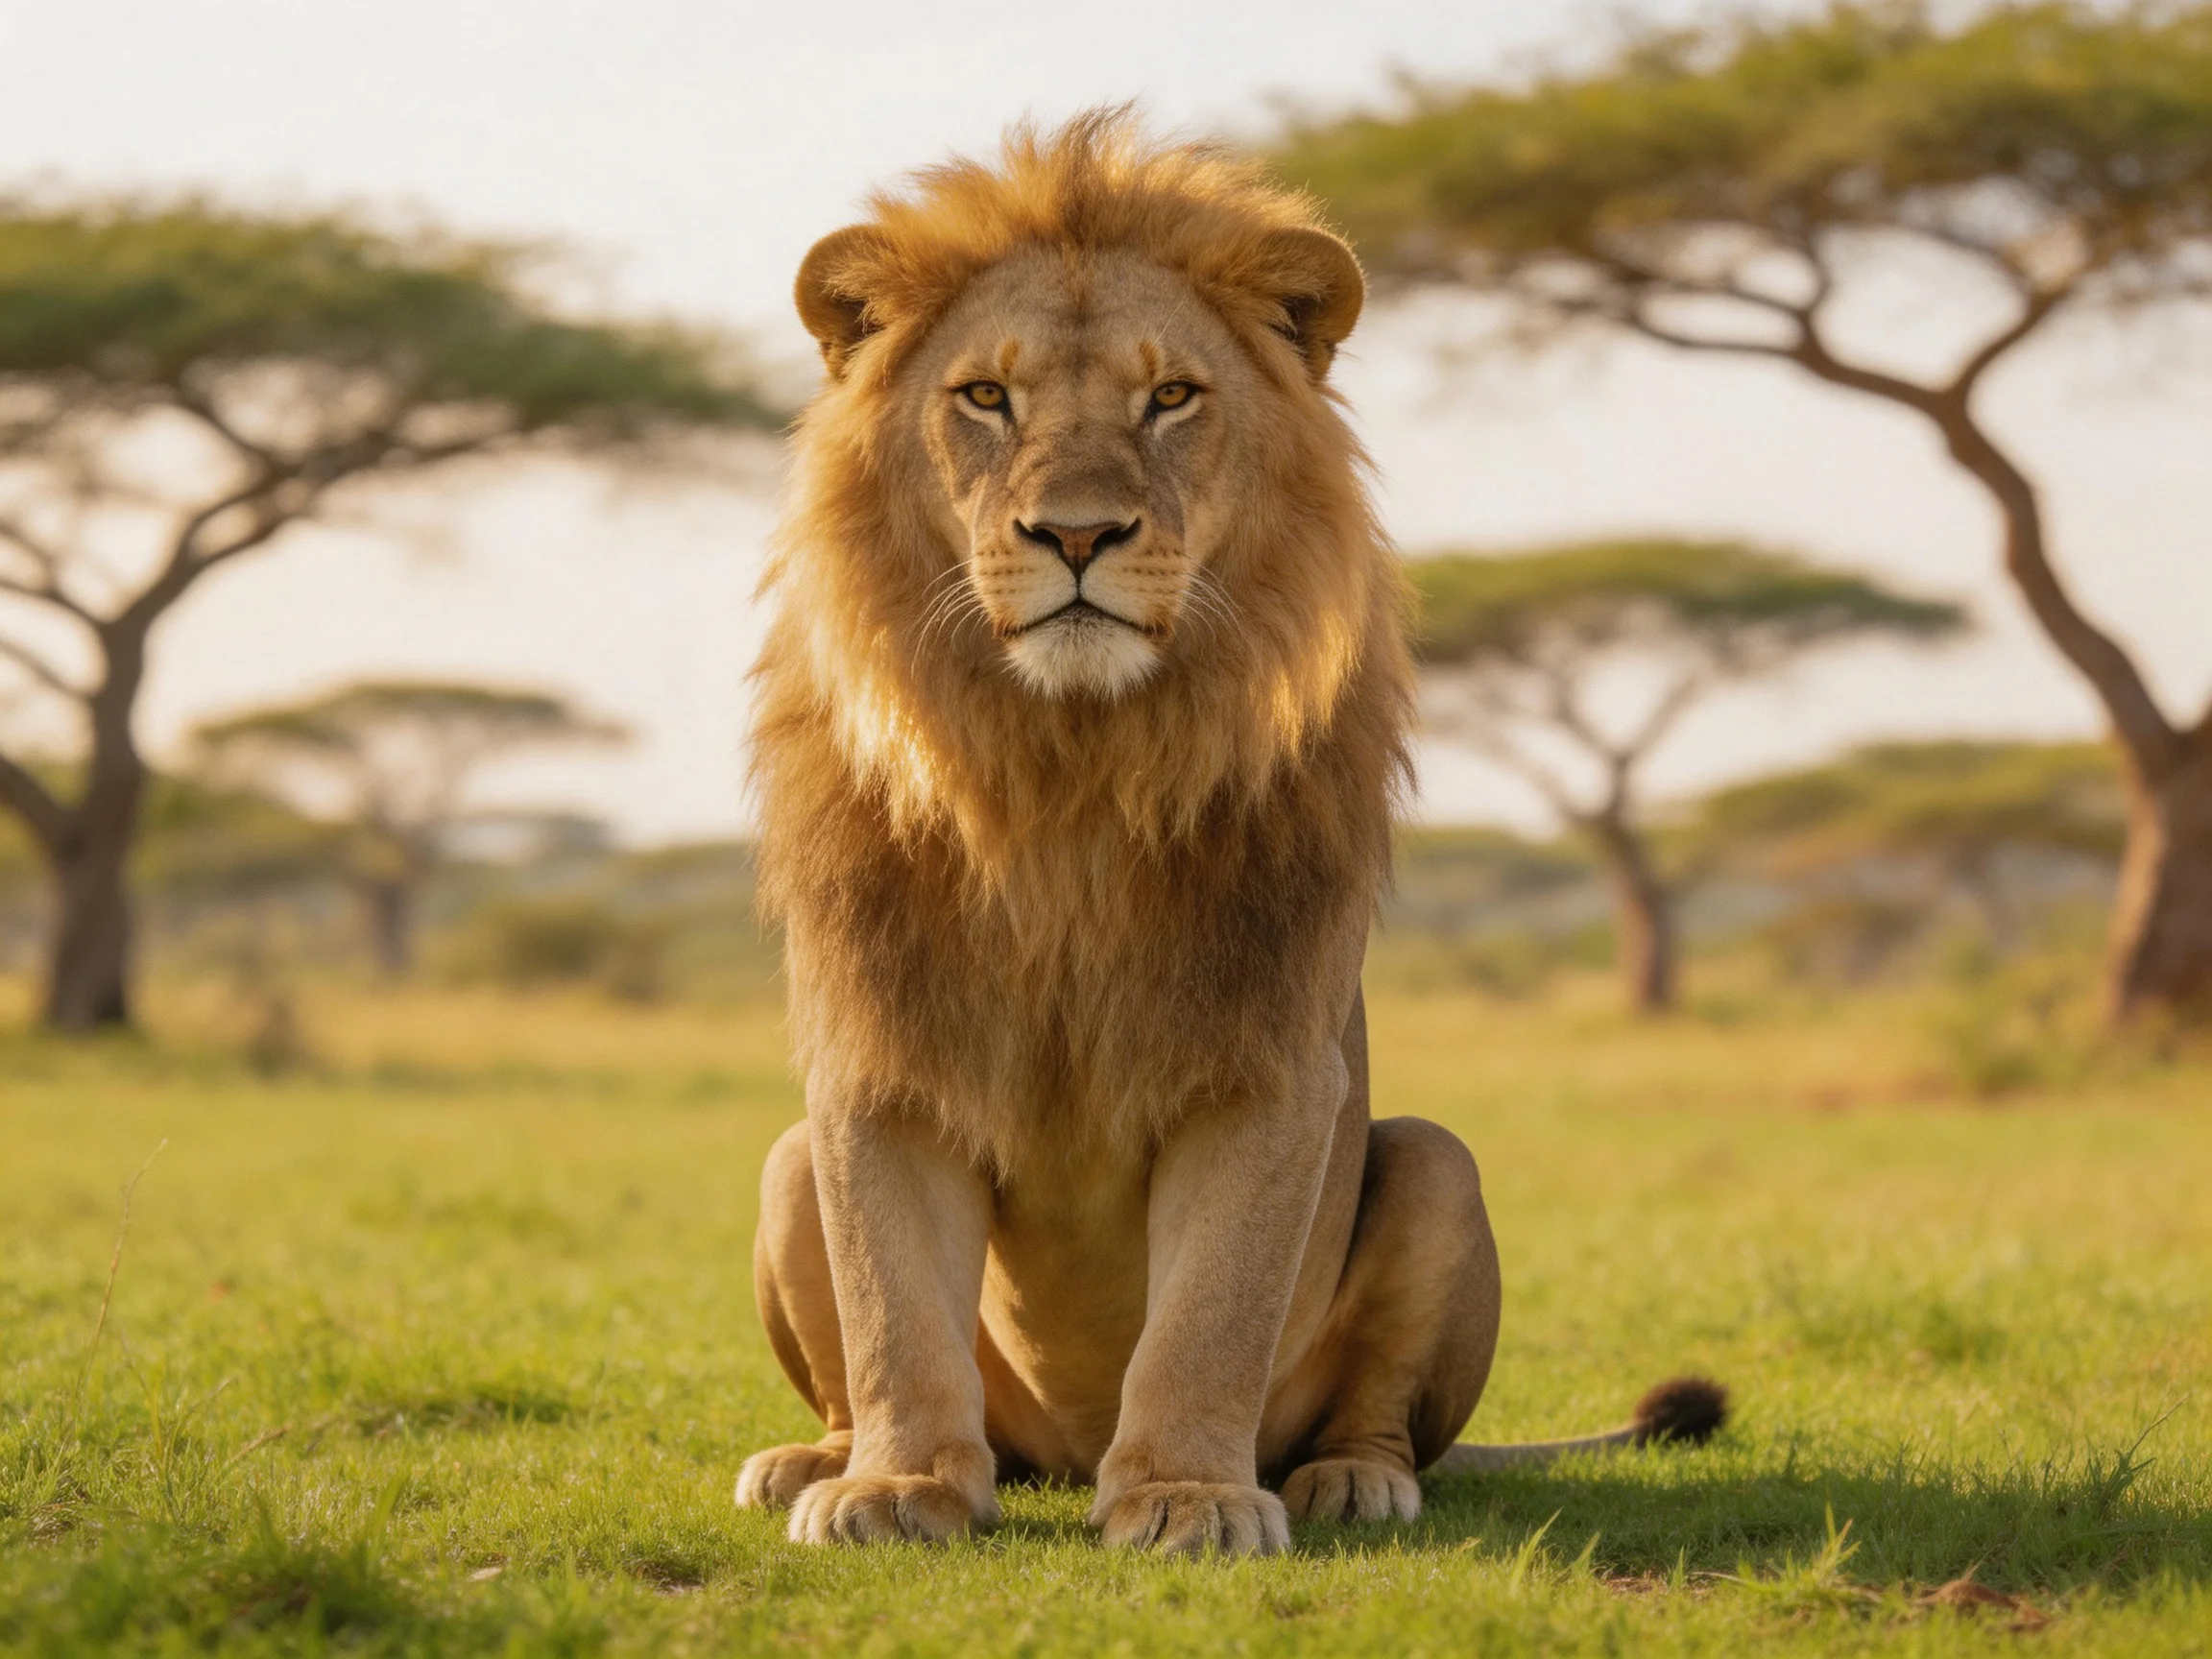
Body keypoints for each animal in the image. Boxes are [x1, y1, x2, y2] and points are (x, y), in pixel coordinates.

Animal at [736, 111, 1724, 1556]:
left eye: (1172, 399)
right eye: (986, 399)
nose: (1078, 533)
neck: (1069, 772)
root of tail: (1056, 1452)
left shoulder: (1265, 1060)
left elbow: (1210, 1311)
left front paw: (1188, 1496)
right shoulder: (879, 1058)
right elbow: (891, 1309)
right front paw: (902, 1485)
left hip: (1437, 1166)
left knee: (1385, 1410)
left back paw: (1351, 1480)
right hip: (787, 1163)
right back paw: (817, 1458)